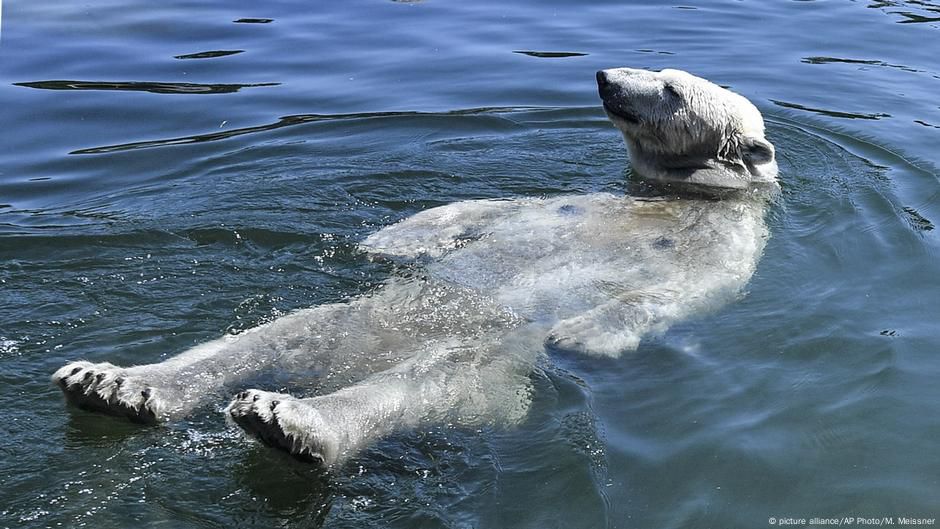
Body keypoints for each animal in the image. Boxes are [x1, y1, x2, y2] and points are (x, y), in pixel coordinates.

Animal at [51, 66, 780, 466]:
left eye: (671, 88)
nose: (604, 78)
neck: (681, 196)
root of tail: (350, 360)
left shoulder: (730, 242)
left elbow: (688, 292)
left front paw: (586, 334)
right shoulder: (575, 199)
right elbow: (481, 209)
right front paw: (387, 238)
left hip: (487, 360)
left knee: (425, 380)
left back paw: (289, 421)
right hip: (351, 320)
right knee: (269, 334)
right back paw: (115, 384)